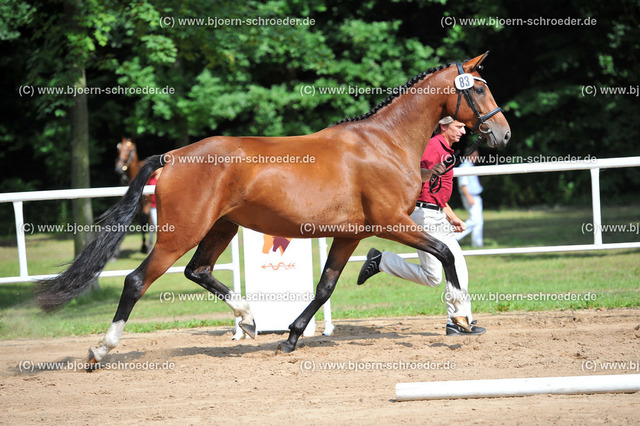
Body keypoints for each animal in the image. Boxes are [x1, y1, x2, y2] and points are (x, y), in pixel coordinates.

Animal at [38, 53, 510, 366]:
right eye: (479, 88)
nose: (503, 134)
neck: (384, 142)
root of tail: (173, 156)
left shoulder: (350, 235)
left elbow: (324, 288)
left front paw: (291, 338)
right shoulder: (390, 223)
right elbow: (445, 254)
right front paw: (460, 315)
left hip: (221, 228)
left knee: (198, 271)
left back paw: (249, 319)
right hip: (180, 233)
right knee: (137, 281)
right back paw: (101, 349)